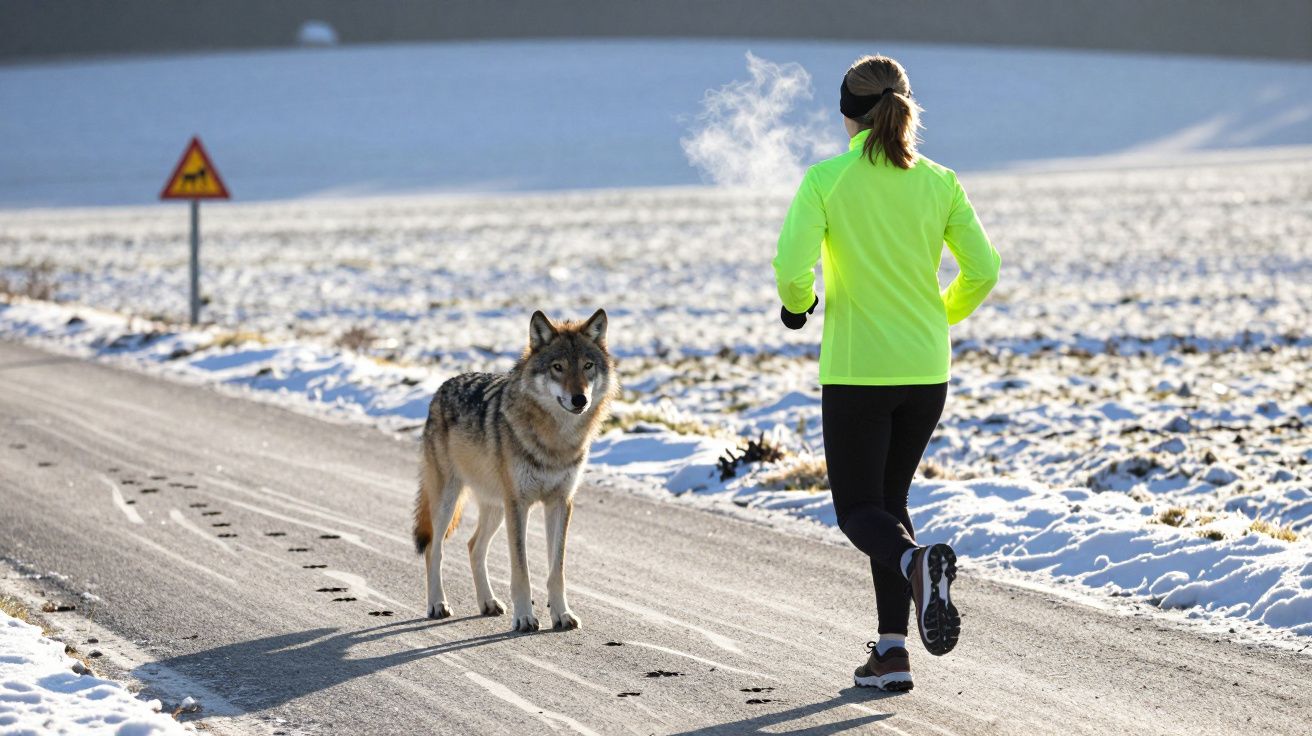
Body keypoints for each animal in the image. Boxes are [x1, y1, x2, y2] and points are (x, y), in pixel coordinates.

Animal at [412, 309, 616, 631]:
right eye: (558, 367)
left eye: (587, 366)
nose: (580, 399)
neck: (556, 441)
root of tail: (442, 388)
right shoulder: (519, 505)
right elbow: (522, 571)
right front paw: (525, 617)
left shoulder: (560, 503)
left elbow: (556, 571)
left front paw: (562, 614)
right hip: (450, 501)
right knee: (435, 548)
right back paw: (437, 604)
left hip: (496, 508)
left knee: (473, 546)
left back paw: (488, 603)